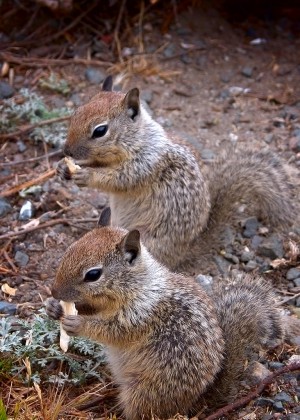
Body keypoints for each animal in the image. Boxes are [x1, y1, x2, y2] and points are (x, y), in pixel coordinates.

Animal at [47, 207, 292, 420]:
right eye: (69, 250)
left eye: (93, 274)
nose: (54, 291)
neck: (138, 286)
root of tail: (198, 402)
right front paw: (54, 307)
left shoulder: (141, 315)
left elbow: (113, 331)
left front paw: (78, 323)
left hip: (144, 391)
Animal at [57, 76, 296, 274]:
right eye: (75, 113)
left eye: (100, 130)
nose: (66, 150)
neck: (138, 139)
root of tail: (185, 251)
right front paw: (63, 168)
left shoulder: (146, 164)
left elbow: (121, 179)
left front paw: (86, 176)